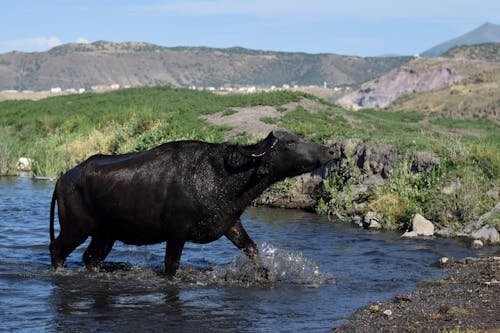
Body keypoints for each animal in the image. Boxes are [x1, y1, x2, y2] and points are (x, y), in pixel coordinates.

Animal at [48, 130, 334, 274]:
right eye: (290, 143)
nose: (330, 150)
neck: (225, 177)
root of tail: (63, 178)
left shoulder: (230, 224)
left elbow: (252, 251)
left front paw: (266, 274)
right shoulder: (176, 233)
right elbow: (171, 267)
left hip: (105, 234)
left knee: (90, 258)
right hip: (75, 228)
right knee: (56, 249)